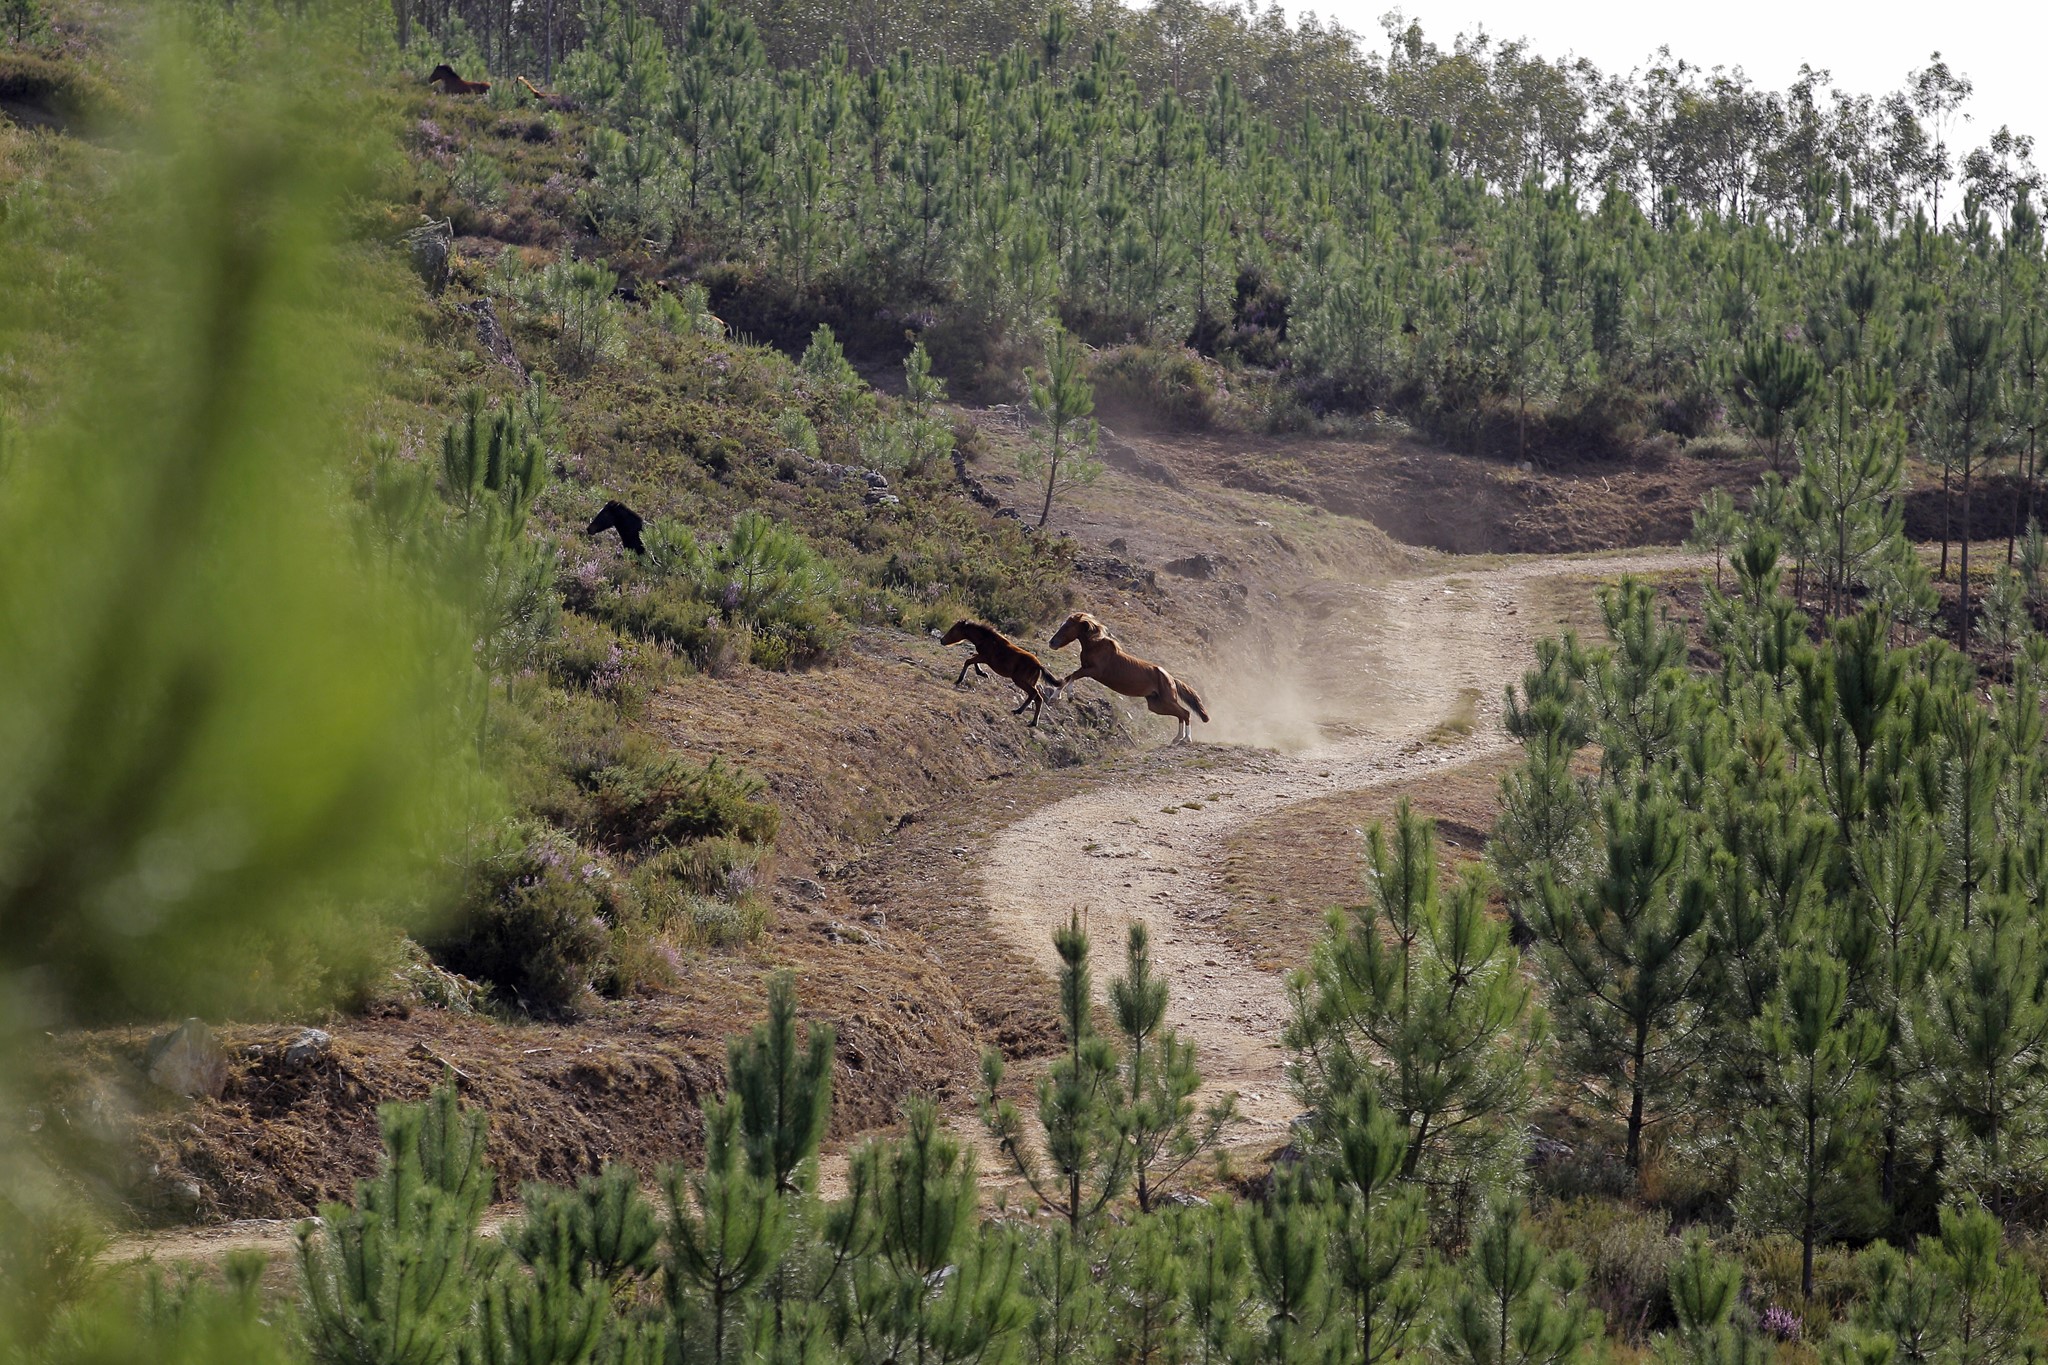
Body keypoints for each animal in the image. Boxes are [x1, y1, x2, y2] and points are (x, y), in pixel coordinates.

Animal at [1048, 613, 1204, 740]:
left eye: (1067, 626)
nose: (1051, 643)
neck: (1095, 646)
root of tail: (1171, 679)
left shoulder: (1093, 671)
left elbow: (1073, 676)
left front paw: (1069, 696)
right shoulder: (1086, 669)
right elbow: (1067, 677)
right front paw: (1054, 697)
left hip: (1166, 701)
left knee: (1185, 713)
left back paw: (1186, 739)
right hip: (1156, 705)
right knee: (1180, 714)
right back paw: (1177, 738)